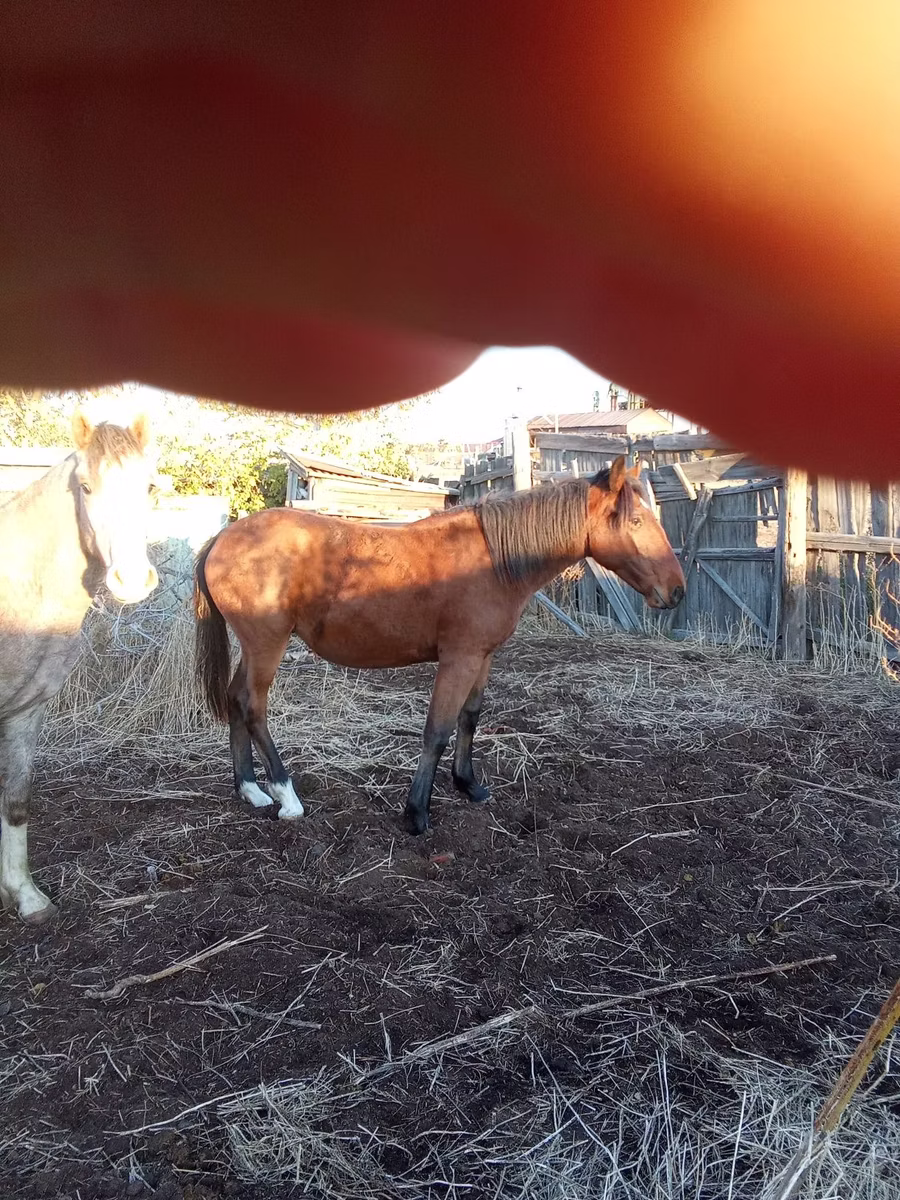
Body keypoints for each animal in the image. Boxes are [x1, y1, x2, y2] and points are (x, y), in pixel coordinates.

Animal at [0, 410, 159, 924]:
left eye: (149, 486)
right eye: (85, 487)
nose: (132, 579)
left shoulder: (26, 711)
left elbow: (15, 800)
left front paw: (25, 896)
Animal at [195, 456, 684, 833]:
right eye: (636, 520)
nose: (676, 591)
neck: (494, 560)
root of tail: (222, 538)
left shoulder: (482, 658)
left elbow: (469, 719)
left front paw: (469, 784)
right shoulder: (458, 660)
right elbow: (437, 731)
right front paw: (417, 813)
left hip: (254, 648)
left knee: (235, 699)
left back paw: (251, 789)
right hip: (267, 645)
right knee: (252, 705)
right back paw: (285, 795)